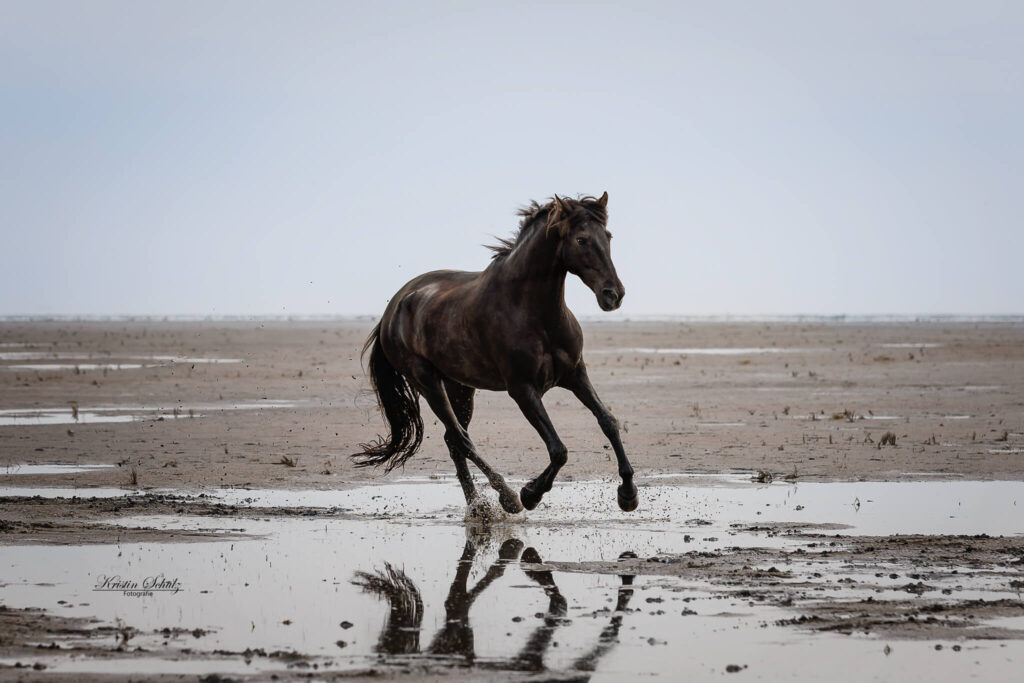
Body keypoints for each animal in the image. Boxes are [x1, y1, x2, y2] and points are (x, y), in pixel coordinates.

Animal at [351, 192, 637, 513]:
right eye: (581, 240)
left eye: (608, 236)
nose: (613, 295)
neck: (533, 312)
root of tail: (393, 308)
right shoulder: (523, 390)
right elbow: (558, 449)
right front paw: (530, 493)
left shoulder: (576, 375)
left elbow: (609, 422)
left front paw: (628, 493)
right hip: (427, 382)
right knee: (461, 439)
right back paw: (506, 497)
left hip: (460, 387)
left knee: (454, 441)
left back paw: (478, 507)